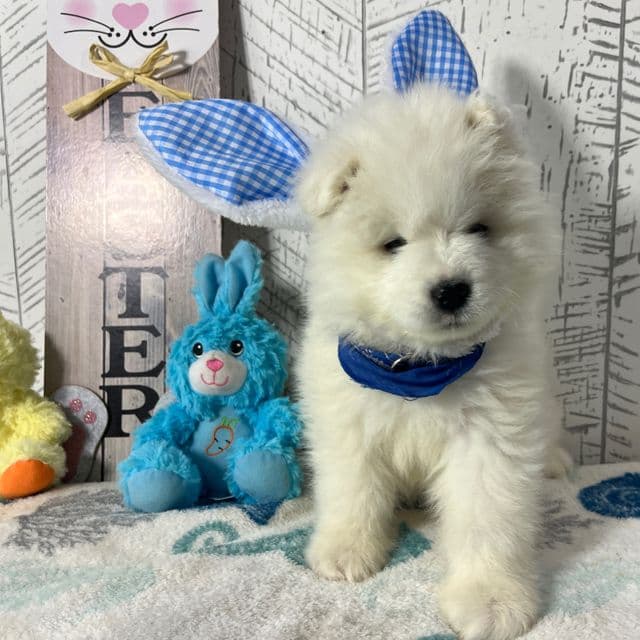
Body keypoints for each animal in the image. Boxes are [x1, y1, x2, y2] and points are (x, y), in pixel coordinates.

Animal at [295, 85, 570, 640]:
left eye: (479, 228)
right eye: (393, 243)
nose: (451, 289)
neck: (418, 367)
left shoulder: (490, 439)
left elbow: (488, 520)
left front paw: (491, 600)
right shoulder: (347, 423)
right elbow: (351, 490)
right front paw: (346, 551)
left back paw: (554, 462)